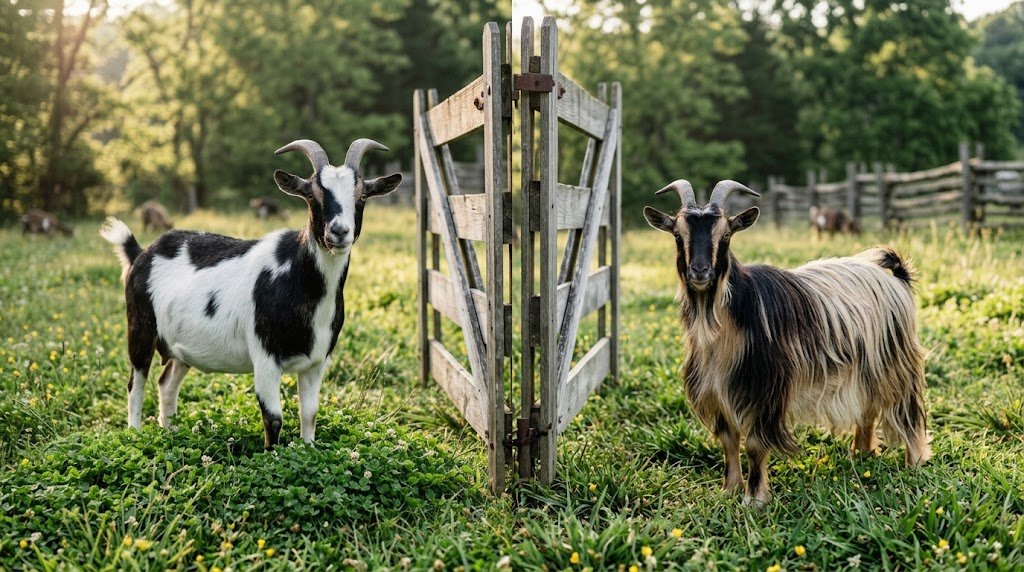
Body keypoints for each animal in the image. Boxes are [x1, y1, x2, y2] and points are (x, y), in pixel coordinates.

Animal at [100, 138, 401, 448]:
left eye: (362, 196)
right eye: (312, 195)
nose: (339, 232)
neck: (300, 281)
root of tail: (140, 253)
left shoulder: (317, 361)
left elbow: (310, 413)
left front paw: (308, 448)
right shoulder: (265, 357)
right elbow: (274, 418)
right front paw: (272, 454)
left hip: (179, 348)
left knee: (166, 382)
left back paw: (170, 430)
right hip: (140, 327)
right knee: (136, 382)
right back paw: (135, 433)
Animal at [644, 180, 930, 505]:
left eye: (726, 234)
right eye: (678, 234)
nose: (700, 272)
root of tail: (896, 278)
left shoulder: (766, 388)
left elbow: (755, 445)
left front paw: (754, 499)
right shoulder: (715, 390)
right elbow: (729, 440)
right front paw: (729, 491)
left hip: (895, 359)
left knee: (906, 409)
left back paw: (914, 460)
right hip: (866, 365)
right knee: (868, 407)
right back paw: (862, 454)